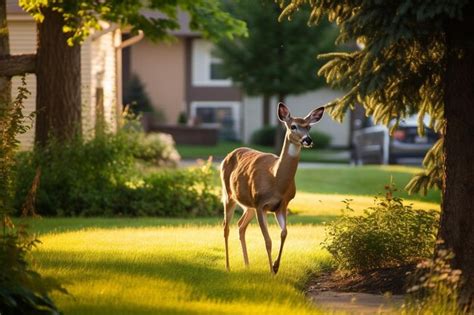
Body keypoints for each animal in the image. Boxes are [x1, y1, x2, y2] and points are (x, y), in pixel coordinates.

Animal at [220, 103, 324, 274]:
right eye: (293, 126)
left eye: (309, 127)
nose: (307, 140)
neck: (276, 180)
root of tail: (228, 155)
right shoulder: (260, 204)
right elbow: (268, 240)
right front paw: (271, 271)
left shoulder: (282, 205)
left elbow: (284, 233)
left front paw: (275, 266)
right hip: (229, 195)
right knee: (226, 227)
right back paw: (228, 266)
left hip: (249, 204)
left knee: (240, 225)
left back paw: (247, 264)